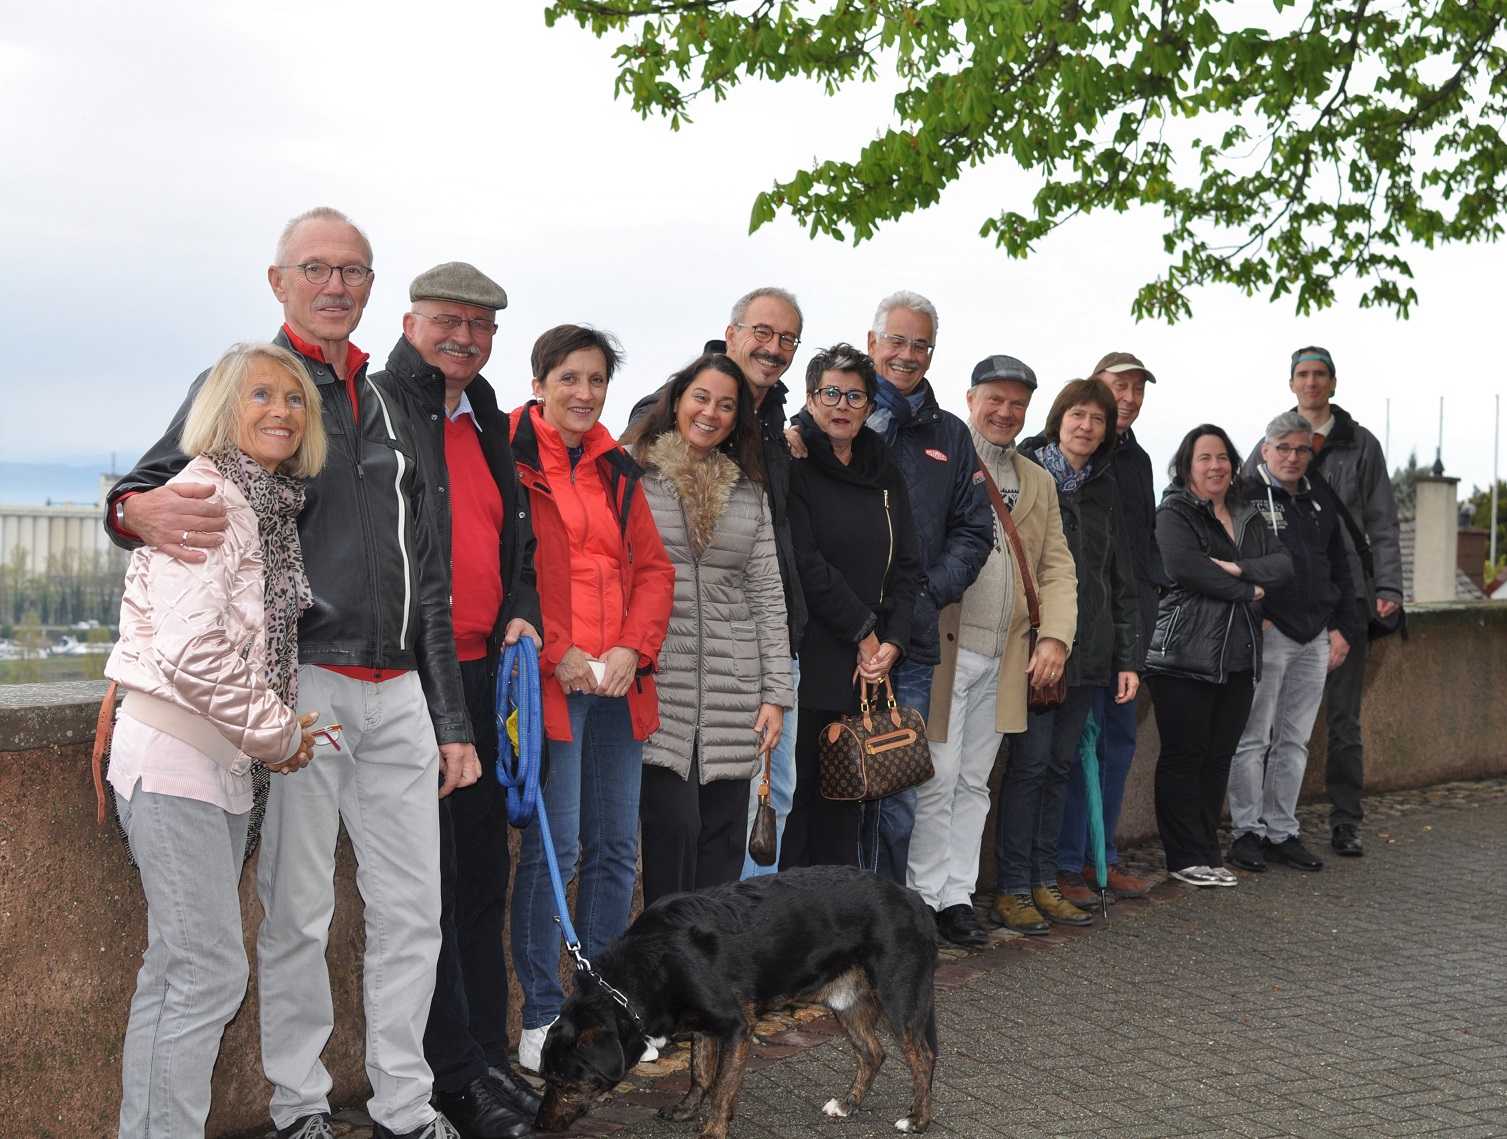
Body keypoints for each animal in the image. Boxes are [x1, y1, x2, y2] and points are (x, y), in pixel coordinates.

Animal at [536, 865, 937, 1139]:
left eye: (562, 1082)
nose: (538, 1124)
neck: (647, 969)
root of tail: (913, 898)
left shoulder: (736, 1027)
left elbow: (722, 1088)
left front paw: (713, 1130)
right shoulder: (704, 1028)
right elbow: (700, 1075)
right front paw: (687, 1109)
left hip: (897, 997)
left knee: (923, 1058)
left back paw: (918, 1119)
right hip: (845, 1001)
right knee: (873, 1053)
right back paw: (849, 1104)